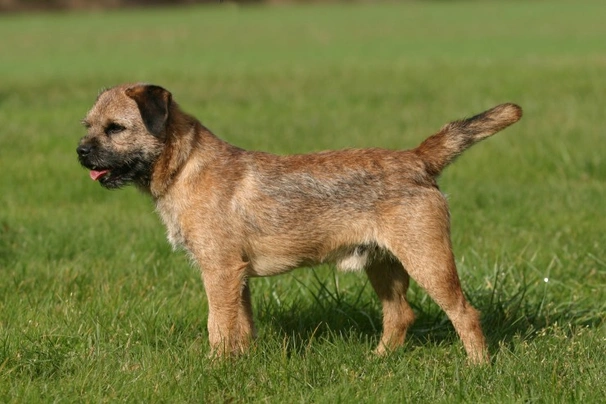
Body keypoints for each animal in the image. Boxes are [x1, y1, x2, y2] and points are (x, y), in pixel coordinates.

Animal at [76, 83, 524, 364]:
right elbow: (242, 326)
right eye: (88, 126)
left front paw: (214, 367)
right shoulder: (237, 277)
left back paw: (479, 367)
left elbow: (218, 326)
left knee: (465, 313)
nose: (80, 151)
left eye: (116, 129)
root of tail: (417, 158)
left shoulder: (220, 271)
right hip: (383, 264)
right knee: (400, 315)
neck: (186, 166)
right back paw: (377, 361)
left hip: (428, 259)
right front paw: (240, 365)